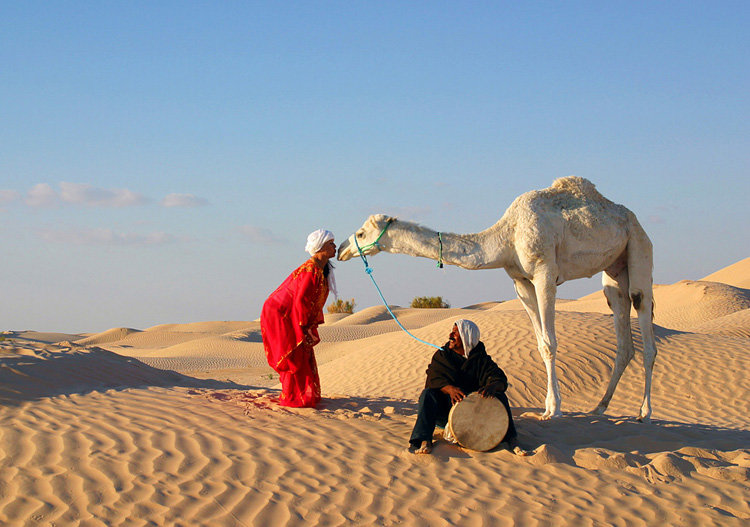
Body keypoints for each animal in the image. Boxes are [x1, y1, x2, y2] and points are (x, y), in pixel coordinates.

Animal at [338, 176, 660, 420]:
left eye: (361, 232)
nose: (342, 249)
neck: (507, 237)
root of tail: (634, 219)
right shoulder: (520, 281)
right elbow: (540, 344)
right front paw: (547, 407)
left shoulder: (544, 273)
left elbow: (550, 343)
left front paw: (554, 410)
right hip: (613, 270)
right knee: (623, 333)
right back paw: (600, 408)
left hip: (639, 245)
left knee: (642, 312)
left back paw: (645, 412)